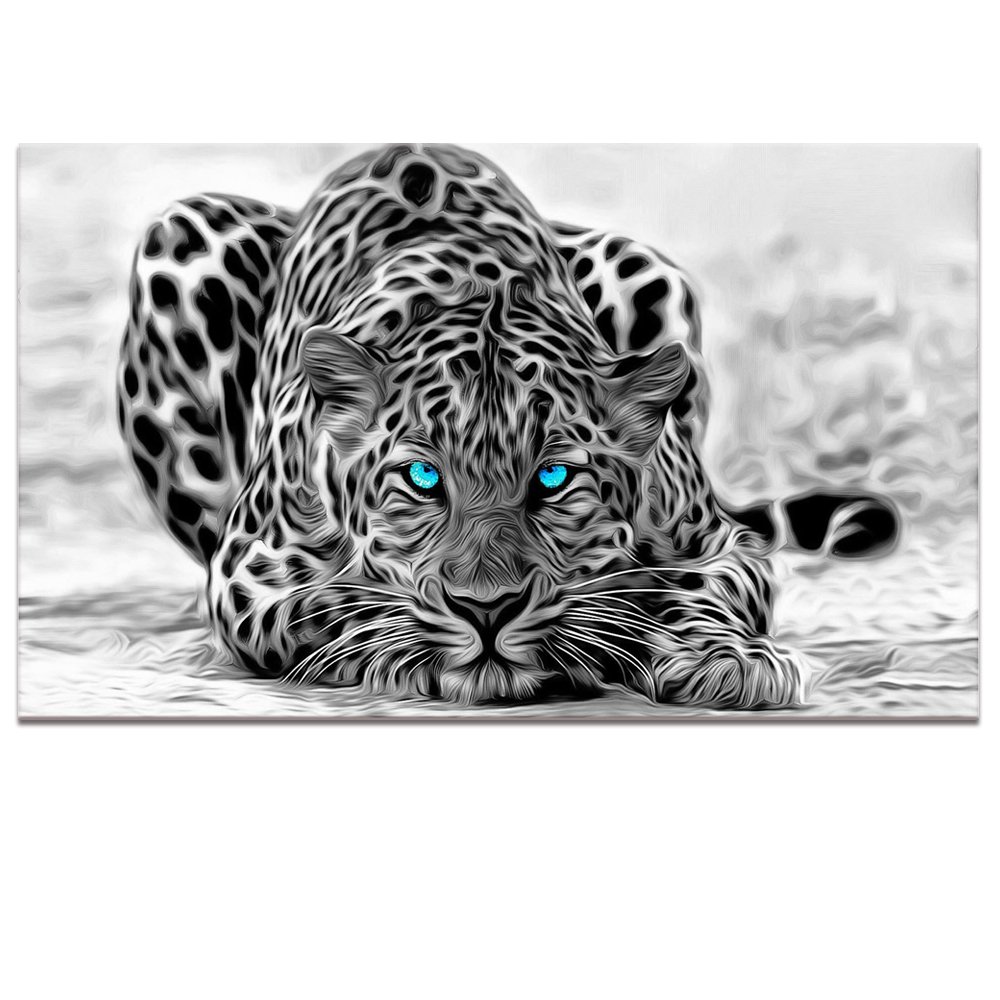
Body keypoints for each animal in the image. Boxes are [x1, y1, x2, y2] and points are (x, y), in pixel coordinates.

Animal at [116, 143, 897, 708]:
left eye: (553, 477)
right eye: (422, 477)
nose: (485, 610)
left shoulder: (720, 544)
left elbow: (692, 589)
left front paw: (725, 657)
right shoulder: (250, 570)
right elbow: (334, 604)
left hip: (646, 267)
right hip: (182, 238)